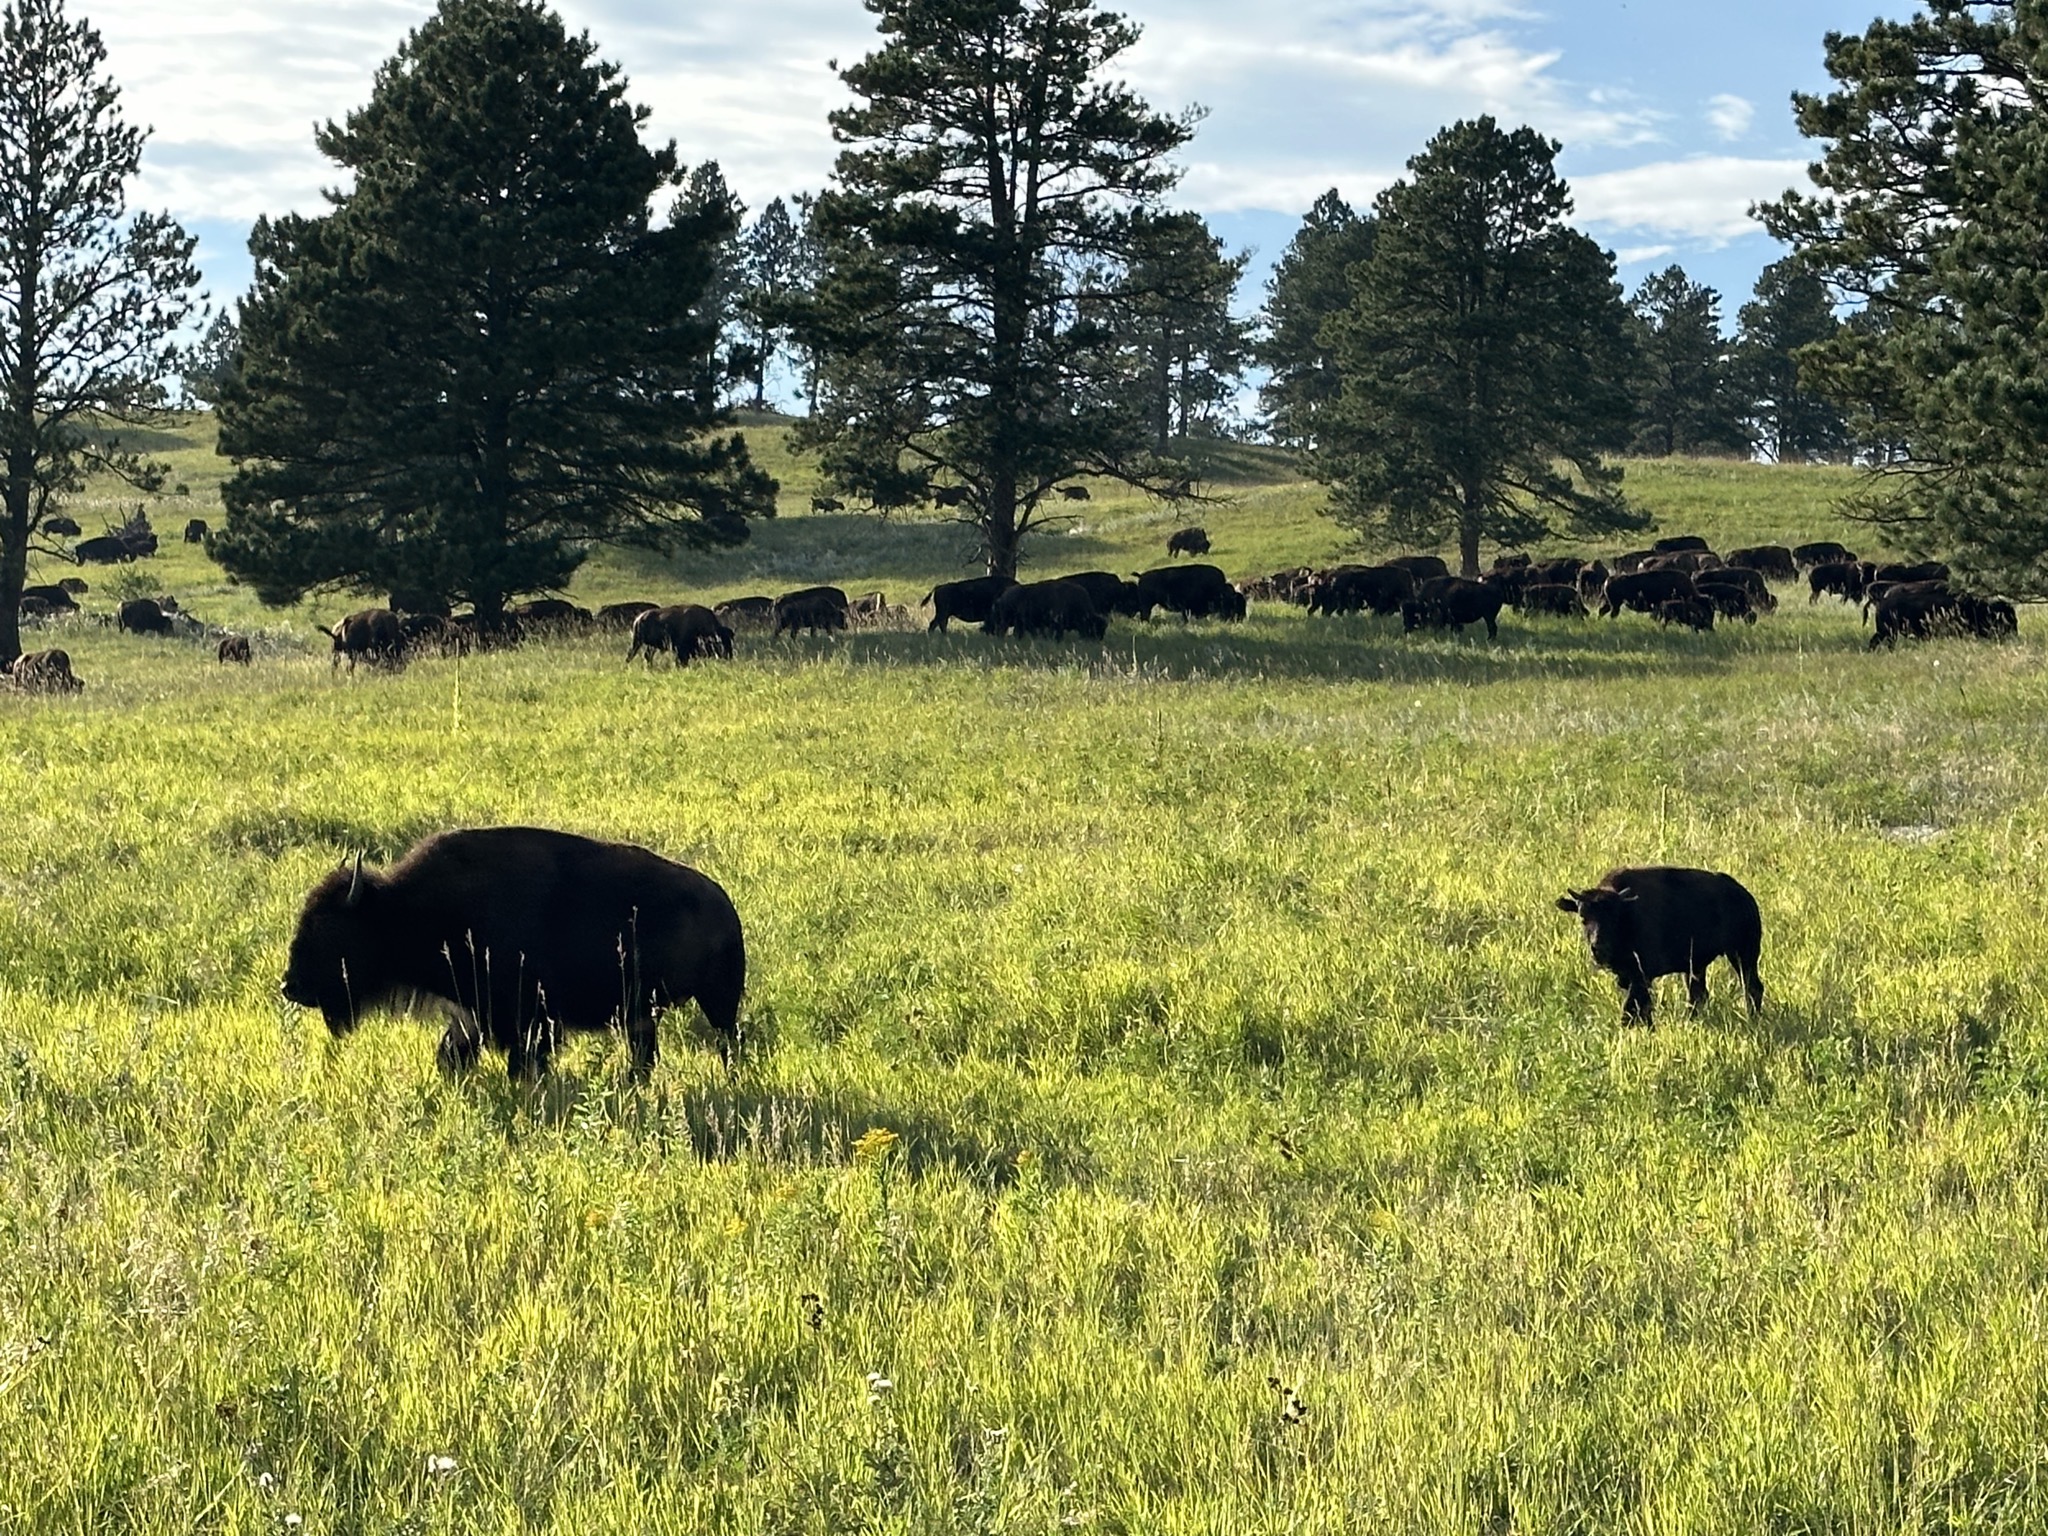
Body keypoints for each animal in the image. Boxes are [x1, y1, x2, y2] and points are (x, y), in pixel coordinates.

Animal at [281, 827, 747, 1080]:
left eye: (328, 930)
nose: (289, 986)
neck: (403, 909)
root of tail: (724, 904)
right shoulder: (470, 1015)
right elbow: (452, 1055)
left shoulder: (528, 1020)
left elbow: (523, 1061)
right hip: (643, 1016)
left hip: (717, 1004)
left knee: (728, 1043)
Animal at [1557, 866, 1764, 1026]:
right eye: (1583, 917)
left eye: (1614, 918)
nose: (1598, 947)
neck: (1627, 912)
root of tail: (1746, 897)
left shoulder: (1641, 976)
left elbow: (1632, 1010)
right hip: (1696, 966)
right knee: (1699, 995)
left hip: (1742, 955)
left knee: (1752, 988)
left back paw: (1752, 1019)